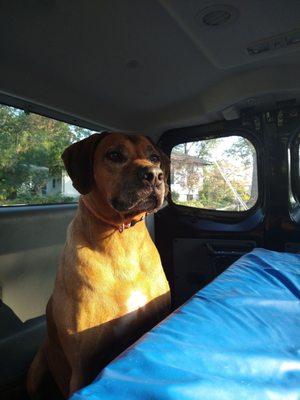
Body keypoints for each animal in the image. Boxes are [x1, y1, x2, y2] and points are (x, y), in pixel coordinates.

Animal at [27, 133, 171, 398]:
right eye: (114, 155)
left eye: (155, 157)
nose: (155, 174)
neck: (122, 237)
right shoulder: (83, 366)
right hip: (38, 366)